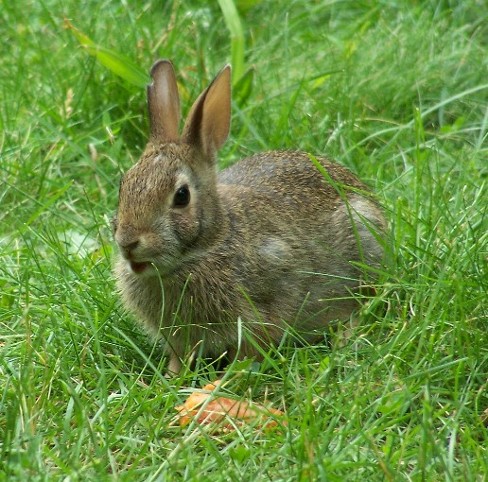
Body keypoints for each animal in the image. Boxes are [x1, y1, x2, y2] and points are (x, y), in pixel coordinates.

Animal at [112, 60, 386, 374]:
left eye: (181, 196)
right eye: (123, 184)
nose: (127, 243)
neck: (209, 245)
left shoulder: (264, 304)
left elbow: (250, 351)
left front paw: (224, 379)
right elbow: (179, 357)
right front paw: (169, 377)